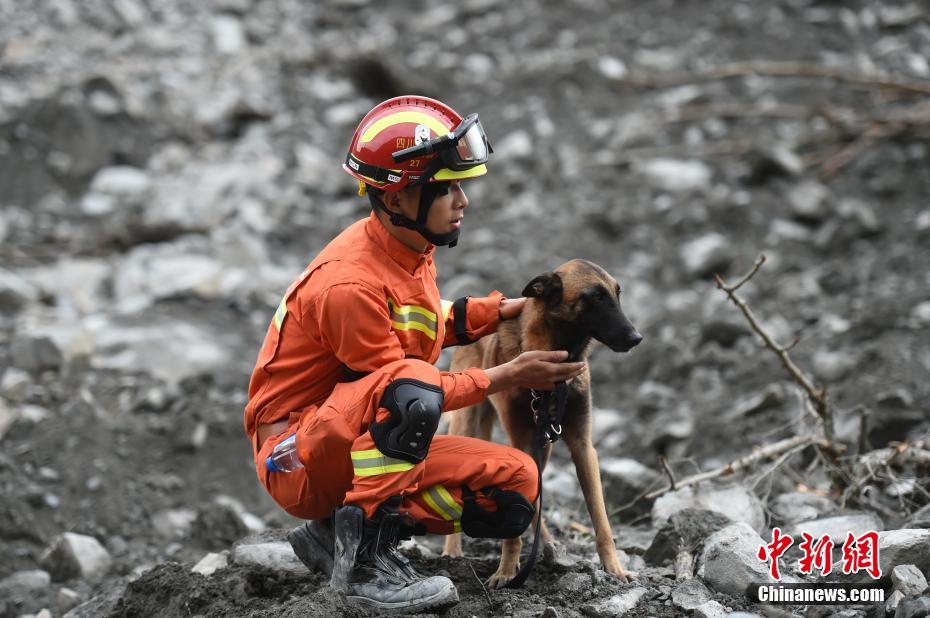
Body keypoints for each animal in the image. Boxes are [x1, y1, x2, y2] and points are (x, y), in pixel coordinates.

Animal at [440, 258, 640, 584]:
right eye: (595, 297)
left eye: (617, 293)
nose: (637, 338)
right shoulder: (521, 444)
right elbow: (517, 526)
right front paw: (506, 570)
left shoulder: (583, 446)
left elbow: (601, 519)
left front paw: (615, 569)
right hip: (469, 423)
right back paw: (453, 550)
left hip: (543, 446)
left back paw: (547, 544)